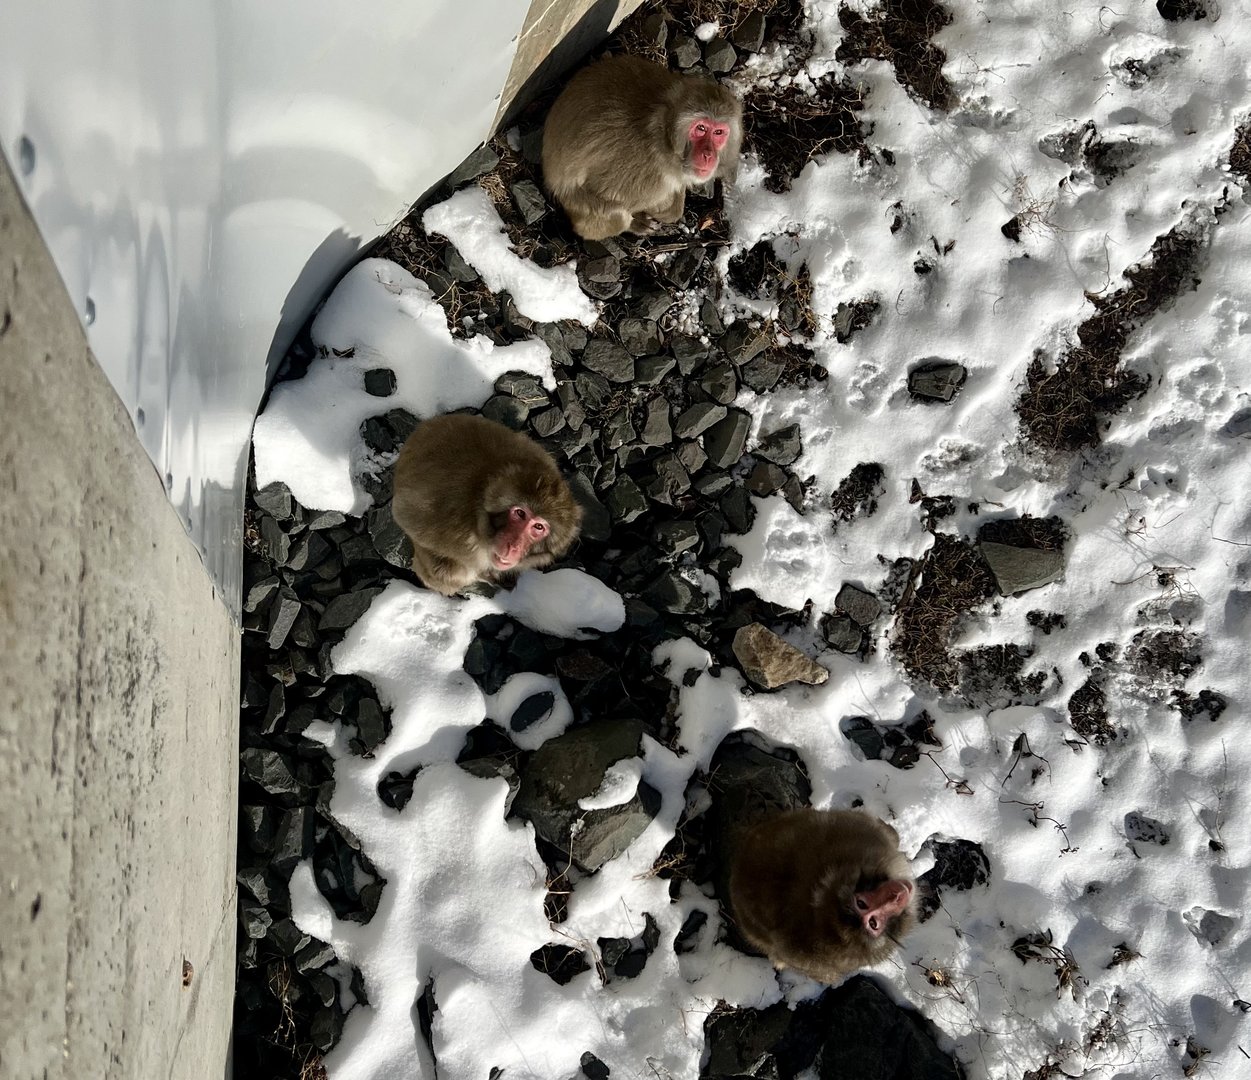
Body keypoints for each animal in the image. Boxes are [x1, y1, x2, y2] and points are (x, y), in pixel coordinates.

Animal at [541, 54, 743, 241]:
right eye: (701, 128)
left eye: (718, 132)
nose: (708, 154)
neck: (662, 137)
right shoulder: (644, 175)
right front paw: (648, 214)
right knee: (616, 215)